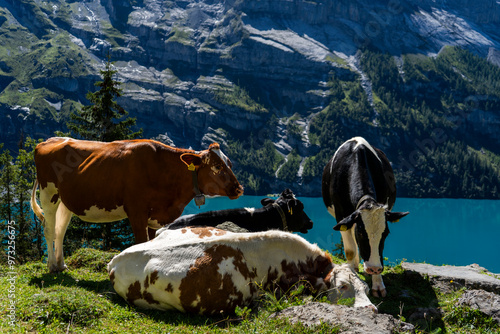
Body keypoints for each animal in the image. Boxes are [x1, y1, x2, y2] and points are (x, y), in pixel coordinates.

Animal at [30, 137, 243, 272]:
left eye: (230, 164)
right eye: (217, 166)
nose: (239, 188)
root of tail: (49, 140)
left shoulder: (155, 216)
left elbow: (152, 242)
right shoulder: (136, 211)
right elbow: (141, 242)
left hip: (65, 201)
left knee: (60, 230)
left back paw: (61, 265)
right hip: (48, 193)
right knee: (49, 229)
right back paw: (51, 266)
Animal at [322, 136, 408, 298]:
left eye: (385, 234)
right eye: (362, 233)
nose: (374, 268)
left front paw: (378, 285)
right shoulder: (341, 215)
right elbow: (349, 250)